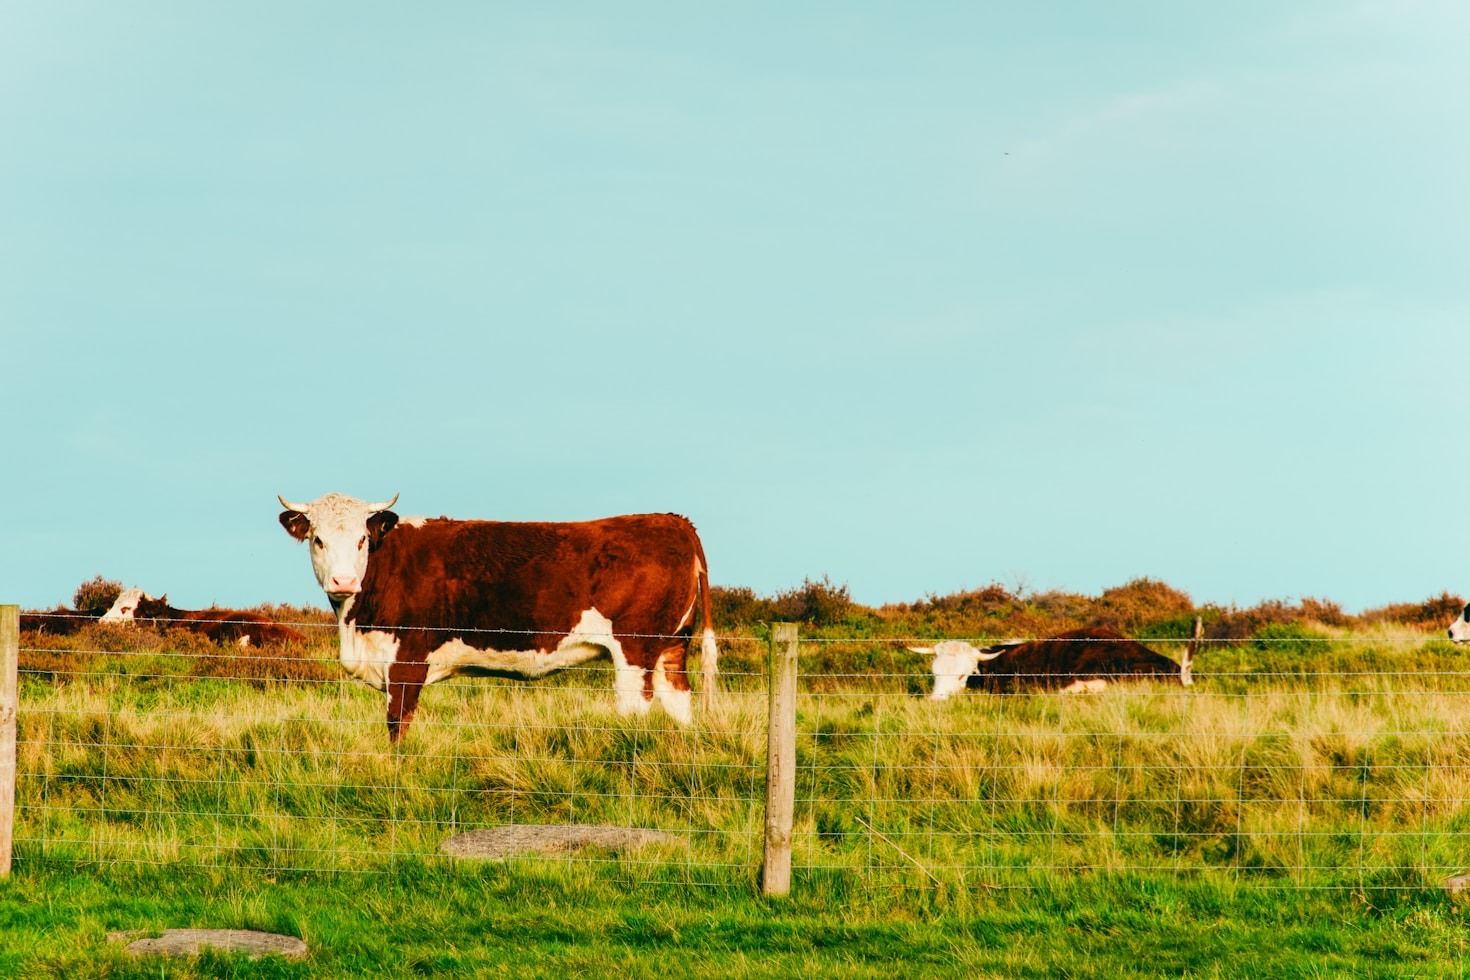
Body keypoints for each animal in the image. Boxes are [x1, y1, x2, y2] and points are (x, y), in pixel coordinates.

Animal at [276, 492, 719, 742]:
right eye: (317, 539)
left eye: (361, 539)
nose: (344, 580)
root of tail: (671, 520)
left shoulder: (407, 661)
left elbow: (397, 728)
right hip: (672, 646)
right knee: (678, 702)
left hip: (635, 648)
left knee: (636, 709)